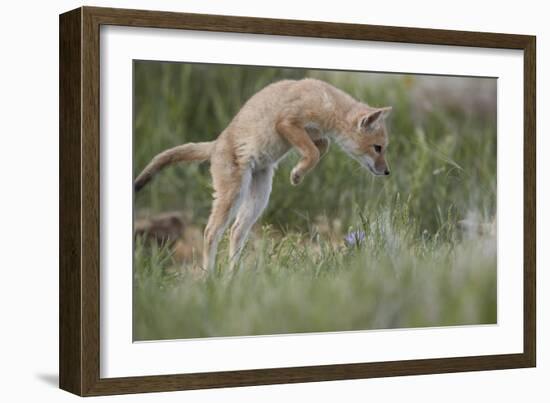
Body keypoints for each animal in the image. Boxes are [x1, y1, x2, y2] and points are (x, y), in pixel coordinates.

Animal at [135, 77, 392, 272]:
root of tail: (216, 144)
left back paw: (233, 277)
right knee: (210, 232)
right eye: (378, 148)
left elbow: (321, 148)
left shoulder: (315, 134)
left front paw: (299, 171)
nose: (387, 172)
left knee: (236, 231)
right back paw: (210, 278)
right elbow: (313, 152)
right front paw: (297, 173)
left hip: (258, 198)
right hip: (232, 195)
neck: (326, 101)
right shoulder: (287, 123)